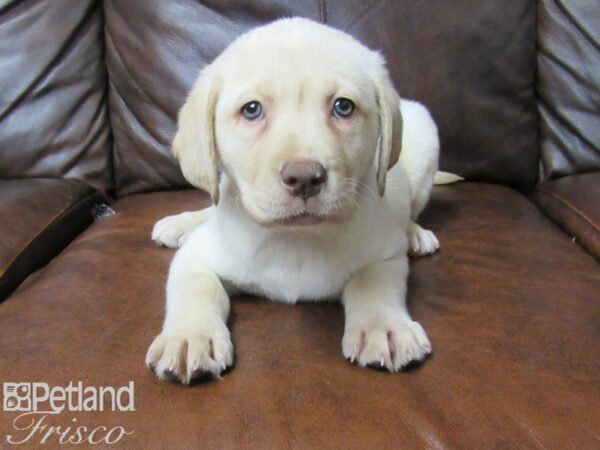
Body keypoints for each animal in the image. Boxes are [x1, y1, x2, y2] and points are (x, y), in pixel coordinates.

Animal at [145, 17, 446, 384]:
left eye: (343, 106)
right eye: (252, 110)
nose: (304, 178)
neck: (296, 238)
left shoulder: (385, 255)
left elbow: (373, 283)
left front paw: (383, 327)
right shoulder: (196, 258)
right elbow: (196, 288)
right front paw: (189, 337)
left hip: (426, 132)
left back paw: (415, 234)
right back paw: (181, 224)